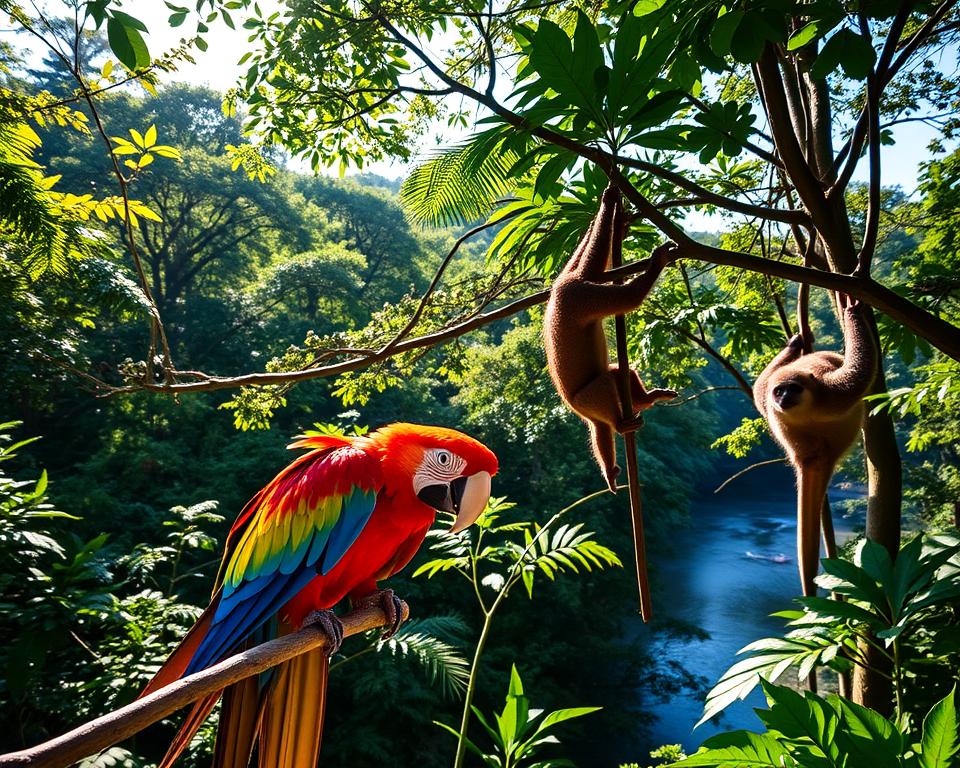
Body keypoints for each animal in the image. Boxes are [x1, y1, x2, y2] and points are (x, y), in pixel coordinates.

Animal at [544, 185, 678, 492]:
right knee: (605, 384)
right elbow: (628, 297)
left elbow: (585, 262)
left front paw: (615, 218)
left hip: (590, 410)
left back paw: (640, 403)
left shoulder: (569, 285)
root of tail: (574, 407)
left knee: (613, 388)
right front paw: (656, 262)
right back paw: (621, 424)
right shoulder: (580, 295)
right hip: (587, 398)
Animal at [753, 292, 877, 598]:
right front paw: (851, 311)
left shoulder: (812, 395)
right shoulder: (833, 392)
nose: (783, 398)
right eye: (781, 391)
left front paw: (795, 343)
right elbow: (860, 371)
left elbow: (758, 391)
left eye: (791, 389)